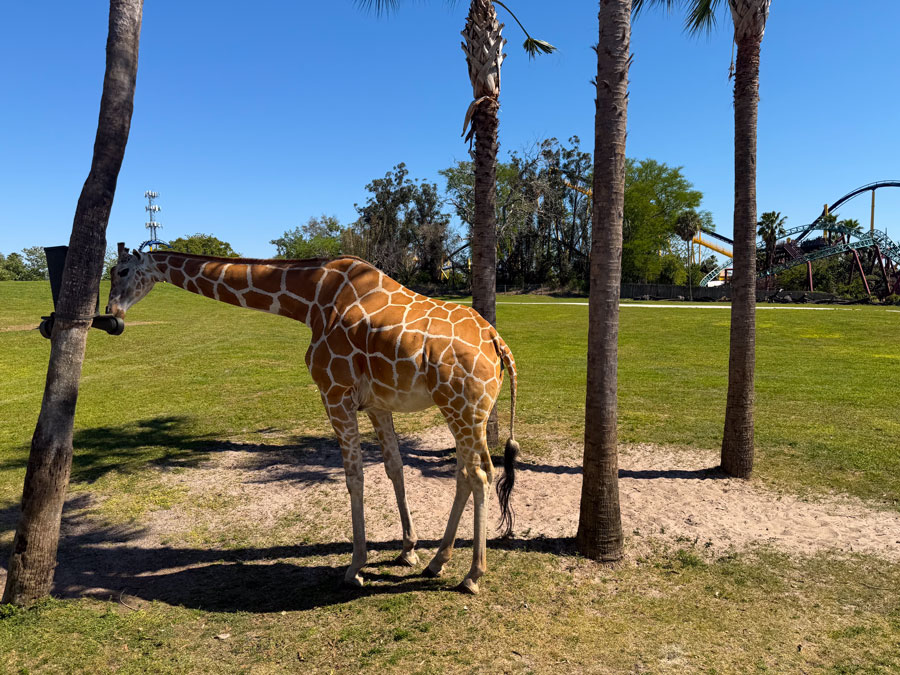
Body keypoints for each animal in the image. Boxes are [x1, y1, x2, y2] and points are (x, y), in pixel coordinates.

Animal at [106, 244, 519, 594]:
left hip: (460, 407)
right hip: (467, 411)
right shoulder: (376, 403)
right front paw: (408, 550)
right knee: (469, 472)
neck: (310, 301)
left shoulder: (334, 392)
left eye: (122, 270)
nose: (112, 315)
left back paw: (472, 575)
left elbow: (354, 476)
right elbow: (394, 467)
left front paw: (355, 568)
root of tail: (497, 342)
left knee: (479, 474)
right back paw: (438, 561)